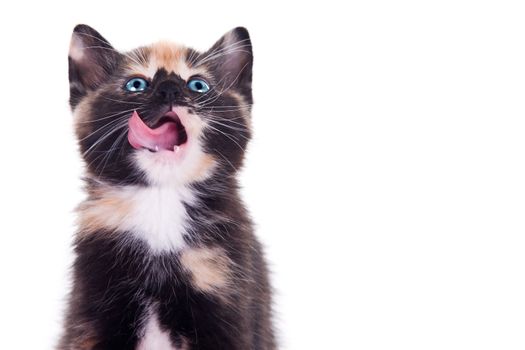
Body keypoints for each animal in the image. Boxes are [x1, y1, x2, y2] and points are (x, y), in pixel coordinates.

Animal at [58, 25, 274, 350]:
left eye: (198, 85)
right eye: (136, 84)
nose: (170, 89)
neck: (161, 201)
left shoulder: (226, 293)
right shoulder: (93, 306)